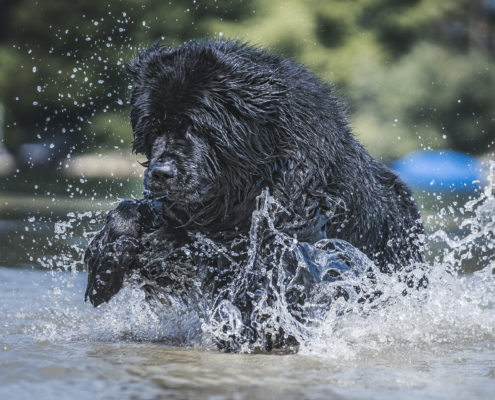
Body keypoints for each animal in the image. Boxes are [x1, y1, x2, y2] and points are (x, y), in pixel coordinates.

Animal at [84, 38, 422, 350]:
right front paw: (106, 266)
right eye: (153, 128)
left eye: (195, 126)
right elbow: (131, 212)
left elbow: (245, 262)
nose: (161, 172)